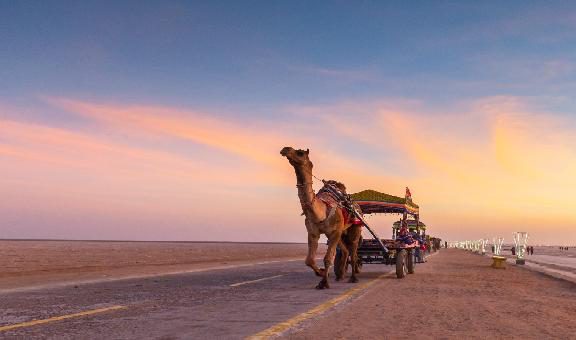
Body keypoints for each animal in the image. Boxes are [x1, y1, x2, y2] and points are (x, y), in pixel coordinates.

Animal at [280, 145, 360, 288]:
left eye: (300, 153)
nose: (285, 149)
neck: (321, 213)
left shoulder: (334, 232)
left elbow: (328, 258)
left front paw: (323, 283)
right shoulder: (313, 232)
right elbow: (309, 260)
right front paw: (321, 273)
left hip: (355, 226)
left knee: (353, 250)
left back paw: (353, 277)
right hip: (339, 232)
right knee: (345, 251)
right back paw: (340, 275)